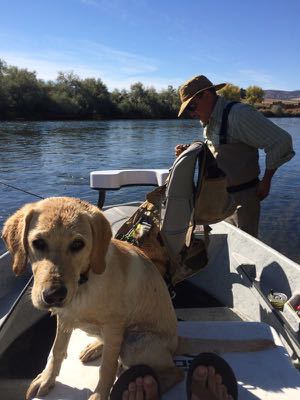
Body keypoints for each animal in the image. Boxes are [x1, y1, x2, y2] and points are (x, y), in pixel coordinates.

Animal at [1, 198, 274, 400]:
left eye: (78, 244)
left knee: (172, 372)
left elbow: (107, 368)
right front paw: (47, 380)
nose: (53, 295)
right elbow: (57, 352)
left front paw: (100, 394)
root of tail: (175, 341)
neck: (85, 282)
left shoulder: (113, 325)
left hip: (134, 342)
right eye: (38, 243)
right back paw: (94, 347)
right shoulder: (64, 319)